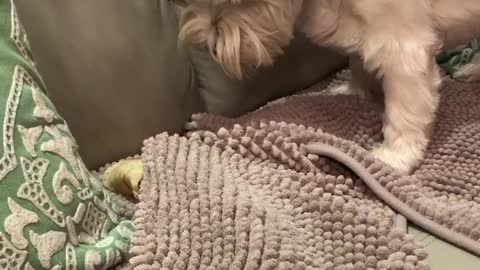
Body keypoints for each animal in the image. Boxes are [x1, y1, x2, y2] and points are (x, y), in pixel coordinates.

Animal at [178, 0, 480, 173]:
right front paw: (353, 91)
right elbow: (358, 61)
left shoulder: (404, 47)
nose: (206, 43)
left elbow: (404, 112)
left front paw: (396, 157)